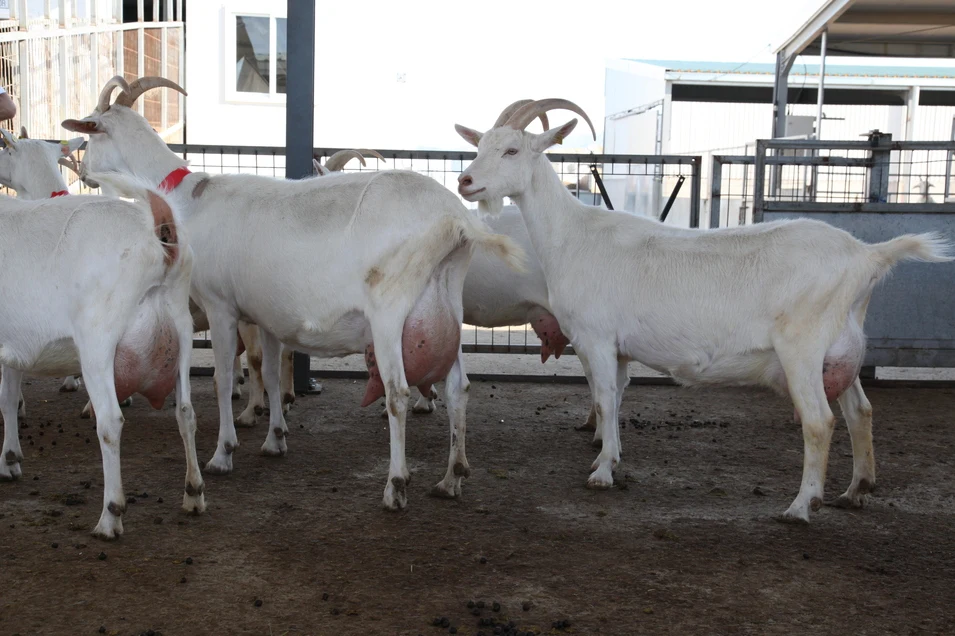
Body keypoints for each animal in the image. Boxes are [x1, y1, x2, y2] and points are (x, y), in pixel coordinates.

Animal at [0, 172, 202, 539]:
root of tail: (160, 228)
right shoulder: (13, 344)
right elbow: (7, 399)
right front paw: (9, 460)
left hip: (97, 341)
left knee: (110, 421)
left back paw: (110, 516)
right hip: (181, 328)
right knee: (185, 412)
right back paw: (194, 493)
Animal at [65, 76, 524, 509]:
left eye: (90, 132)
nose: (82, 173)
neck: (185, 199)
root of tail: (455, 219)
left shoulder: (220, 305)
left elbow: (222, 377)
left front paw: (222, 453)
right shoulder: (264, 316)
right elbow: (268, 374)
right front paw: (274, 438)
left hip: (390, 310)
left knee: (397, 392)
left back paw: (396, 485)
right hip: (444, 306)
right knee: (459, 388)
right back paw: (451, 478)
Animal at [454, 98, 953, 523]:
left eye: (512, 149)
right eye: (479, 146)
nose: (465, 181)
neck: (573, 235)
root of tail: (865, 256)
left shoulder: (594, 337)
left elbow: (604, 397)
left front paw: (601, 472)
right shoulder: (617, 347)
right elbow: (613, 398)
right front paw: (609, 456)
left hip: (803, 348)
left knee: (819, 421)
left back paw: (800, 507)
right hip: (841, 351)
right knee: (860, 411)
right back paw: (856, 490)